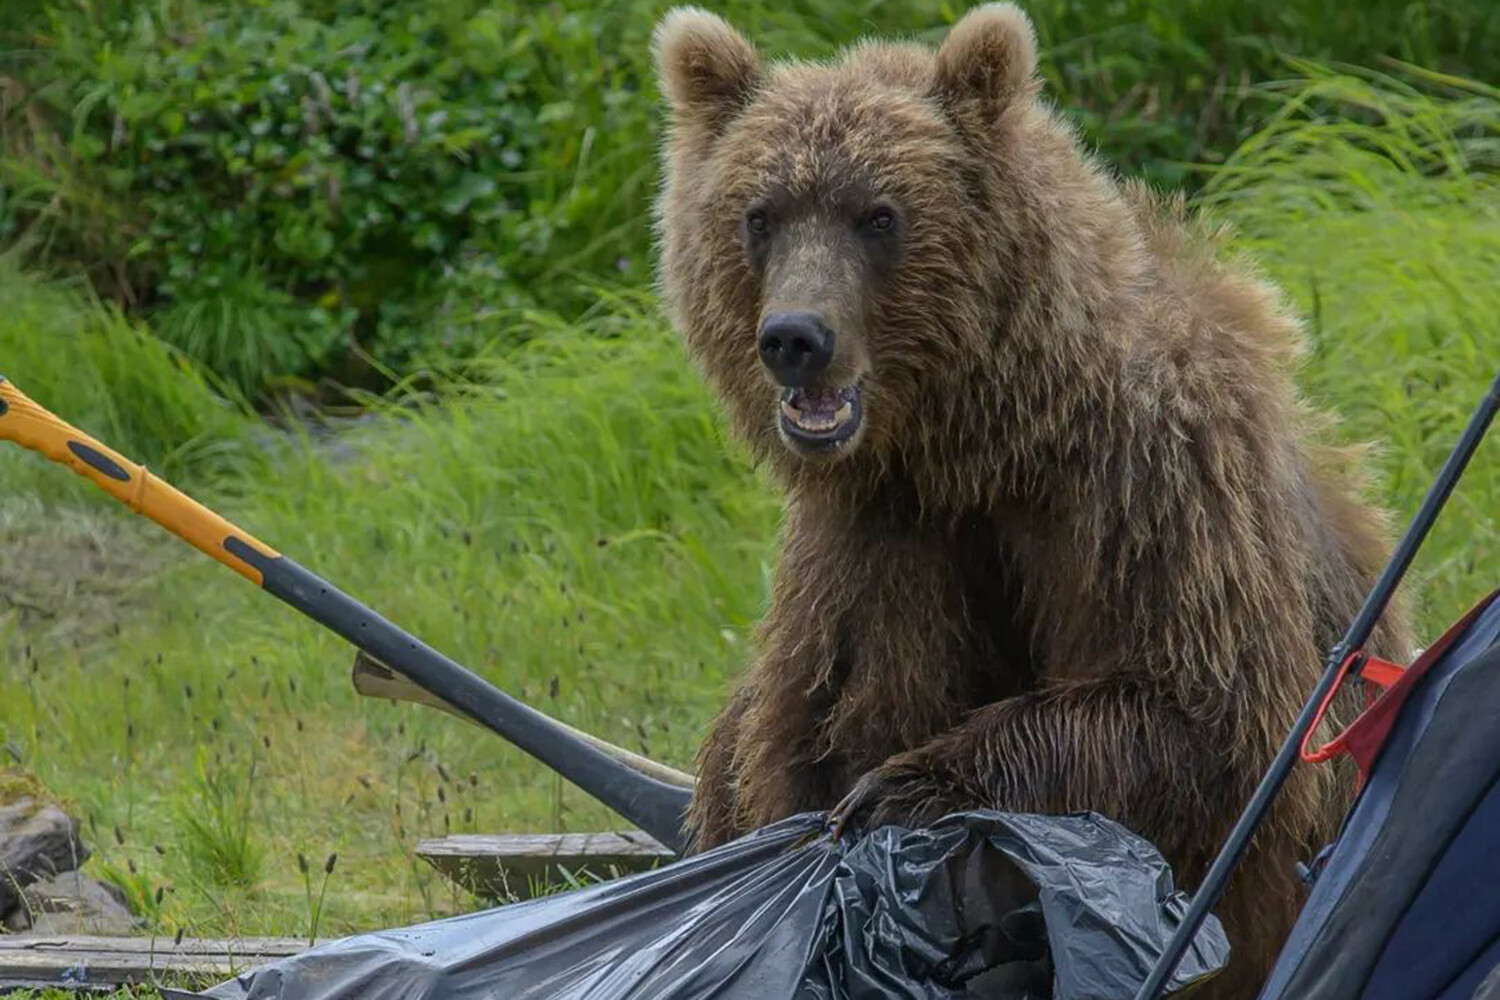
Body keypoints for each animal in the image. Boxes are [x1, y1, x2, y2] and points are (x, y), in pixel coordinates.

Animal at [651, 3, 1410, 995]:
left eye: (878, 214)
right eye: (759, 215)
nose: (794, 337)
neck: (989, 434)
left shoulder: (1157, 487)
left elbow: (1198, 708)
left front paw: (900, 790)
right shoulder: (880, 531)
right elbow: (827, 716)